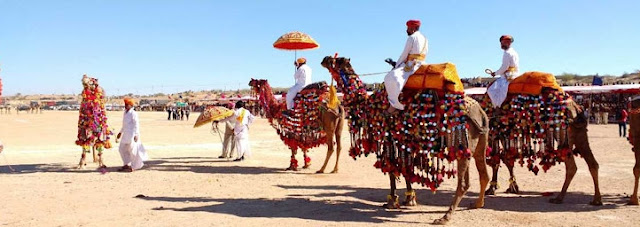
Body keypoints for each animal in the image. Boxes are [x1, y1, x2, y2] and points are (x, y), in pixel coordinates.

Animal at [320, 55, 490, 224]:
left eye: (336, 60)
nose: (324, 59)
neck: (371, 105)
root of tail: (481, 112)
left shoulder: (389, 137)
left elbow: (391, 168)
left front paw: (392, 201)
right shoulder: (405, 140)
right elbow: (406, 168)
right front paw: (409, 199)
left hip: (461, 140)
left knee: (464, 182)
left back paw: (445, 217)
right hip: (478, 142)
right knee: (482, 174)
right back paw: (477, 204)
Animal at [478, 72, 604, 206]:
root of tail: (576, 108)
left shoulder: (494, 133)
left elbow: (497, 161)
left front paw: (493, 188)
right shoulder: (503, 134)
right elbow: (507, 160)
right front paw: (511, 187)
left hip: (562, 132)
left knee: (571, 166)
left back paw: (559, 198)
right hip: (580, 133)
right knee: (593, 163)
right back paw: (596, 199)